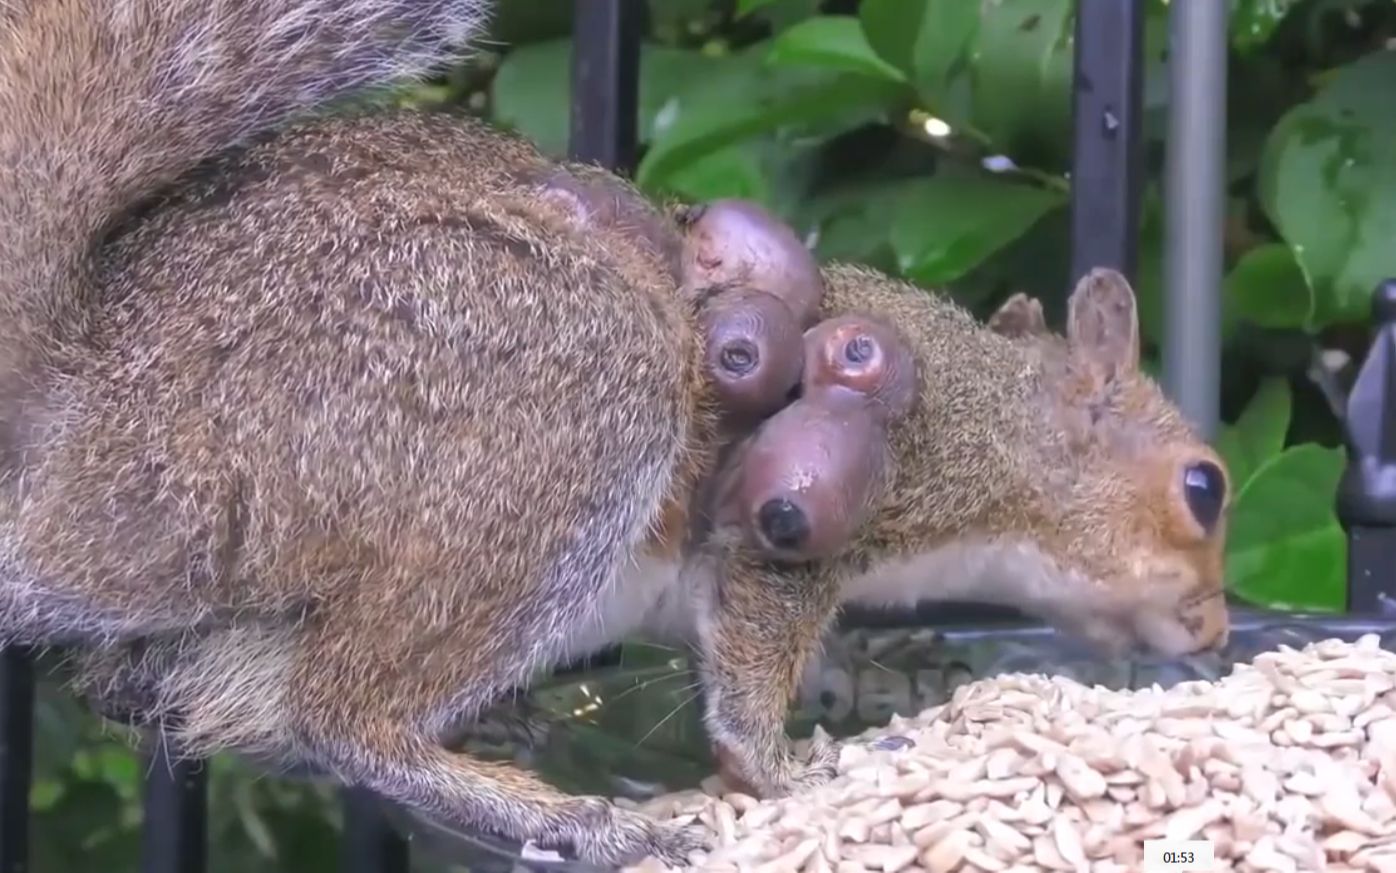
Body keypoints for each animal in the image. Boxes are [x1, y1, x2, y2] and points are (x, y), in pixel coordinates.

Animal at [5, 0, 1239, 860]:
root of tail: (95, 419)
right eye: (1204, 487)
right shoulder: (842, 497)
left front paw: (874, 675)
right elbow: (752, 658)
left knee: (218, 701)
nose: (1218, 628)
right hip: (565, 404)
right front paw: (793, 777)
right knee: (344, 717)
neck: (996, 422)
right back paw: (568, 815)